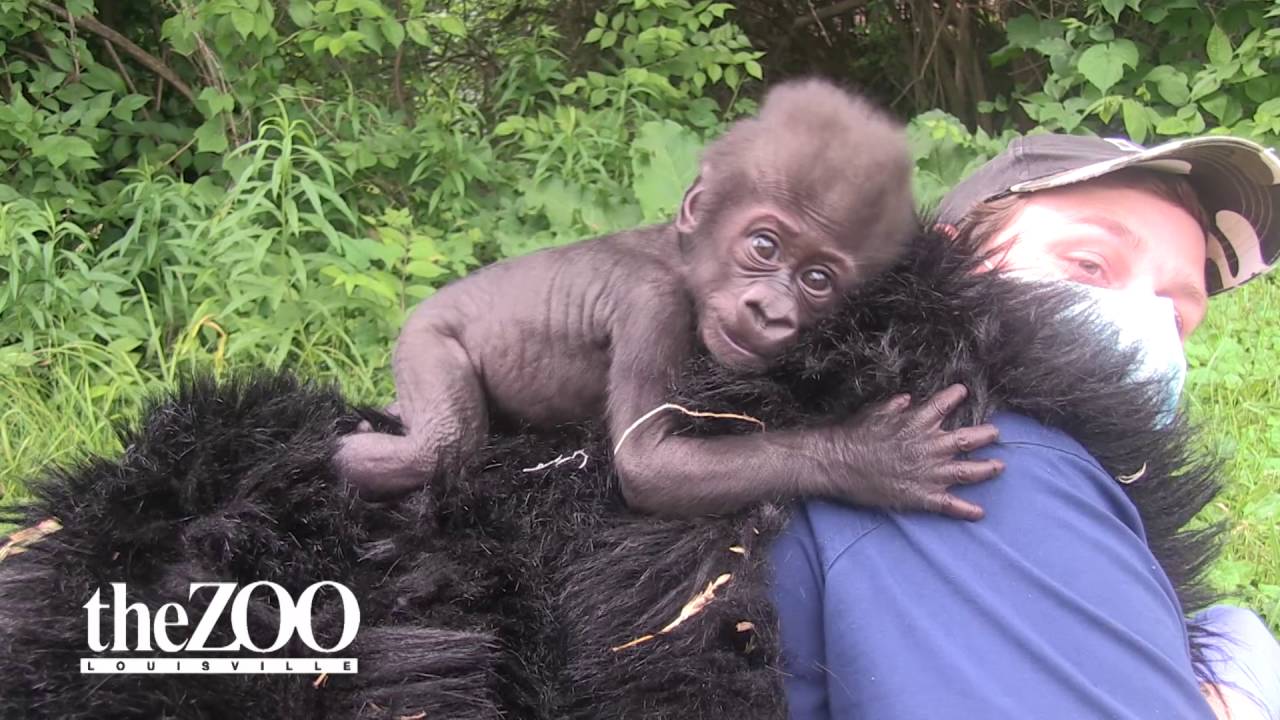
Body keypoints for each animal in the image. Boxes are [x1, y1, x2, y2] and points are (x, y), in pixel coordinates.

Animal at [335, 77, 1003, 515]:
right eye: (764, 246)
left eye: (818, 280)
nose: (771, 313)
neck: (682, 260)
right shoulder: (652, 302)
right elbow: (645, 463)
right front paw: (869, 458)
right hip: (424, 335)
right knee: (440, 448)